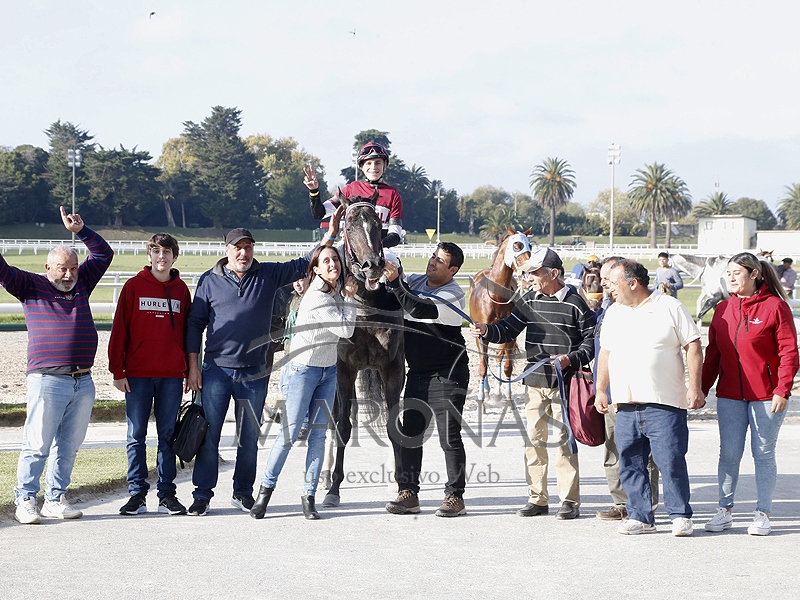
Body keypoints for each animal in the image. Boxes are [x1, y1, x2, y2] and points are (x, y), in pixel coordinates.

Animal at [322, 188, 405, 508]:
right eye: (349, 225)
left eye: (378, 225)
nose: (373, 266)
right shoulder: (343, 369)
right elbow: (343, 425)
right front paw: (333, 488)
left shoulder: (393, 367)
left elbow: (395, 426)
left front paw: (400, 483)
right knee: (332, 419)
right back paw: (324, 476)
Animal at [468, 227, 532, 407]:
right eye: (517, 245)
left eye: (530, 245)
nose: (530, 268)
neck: (496, 298)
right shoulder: (480, 333)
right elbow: (483, 366)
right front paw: (481, 400)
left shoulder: (509, 334)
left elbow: (507, 366)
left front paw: (509, 399)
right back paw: (487, 392)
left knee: (498, 357)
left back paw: (497, 393)